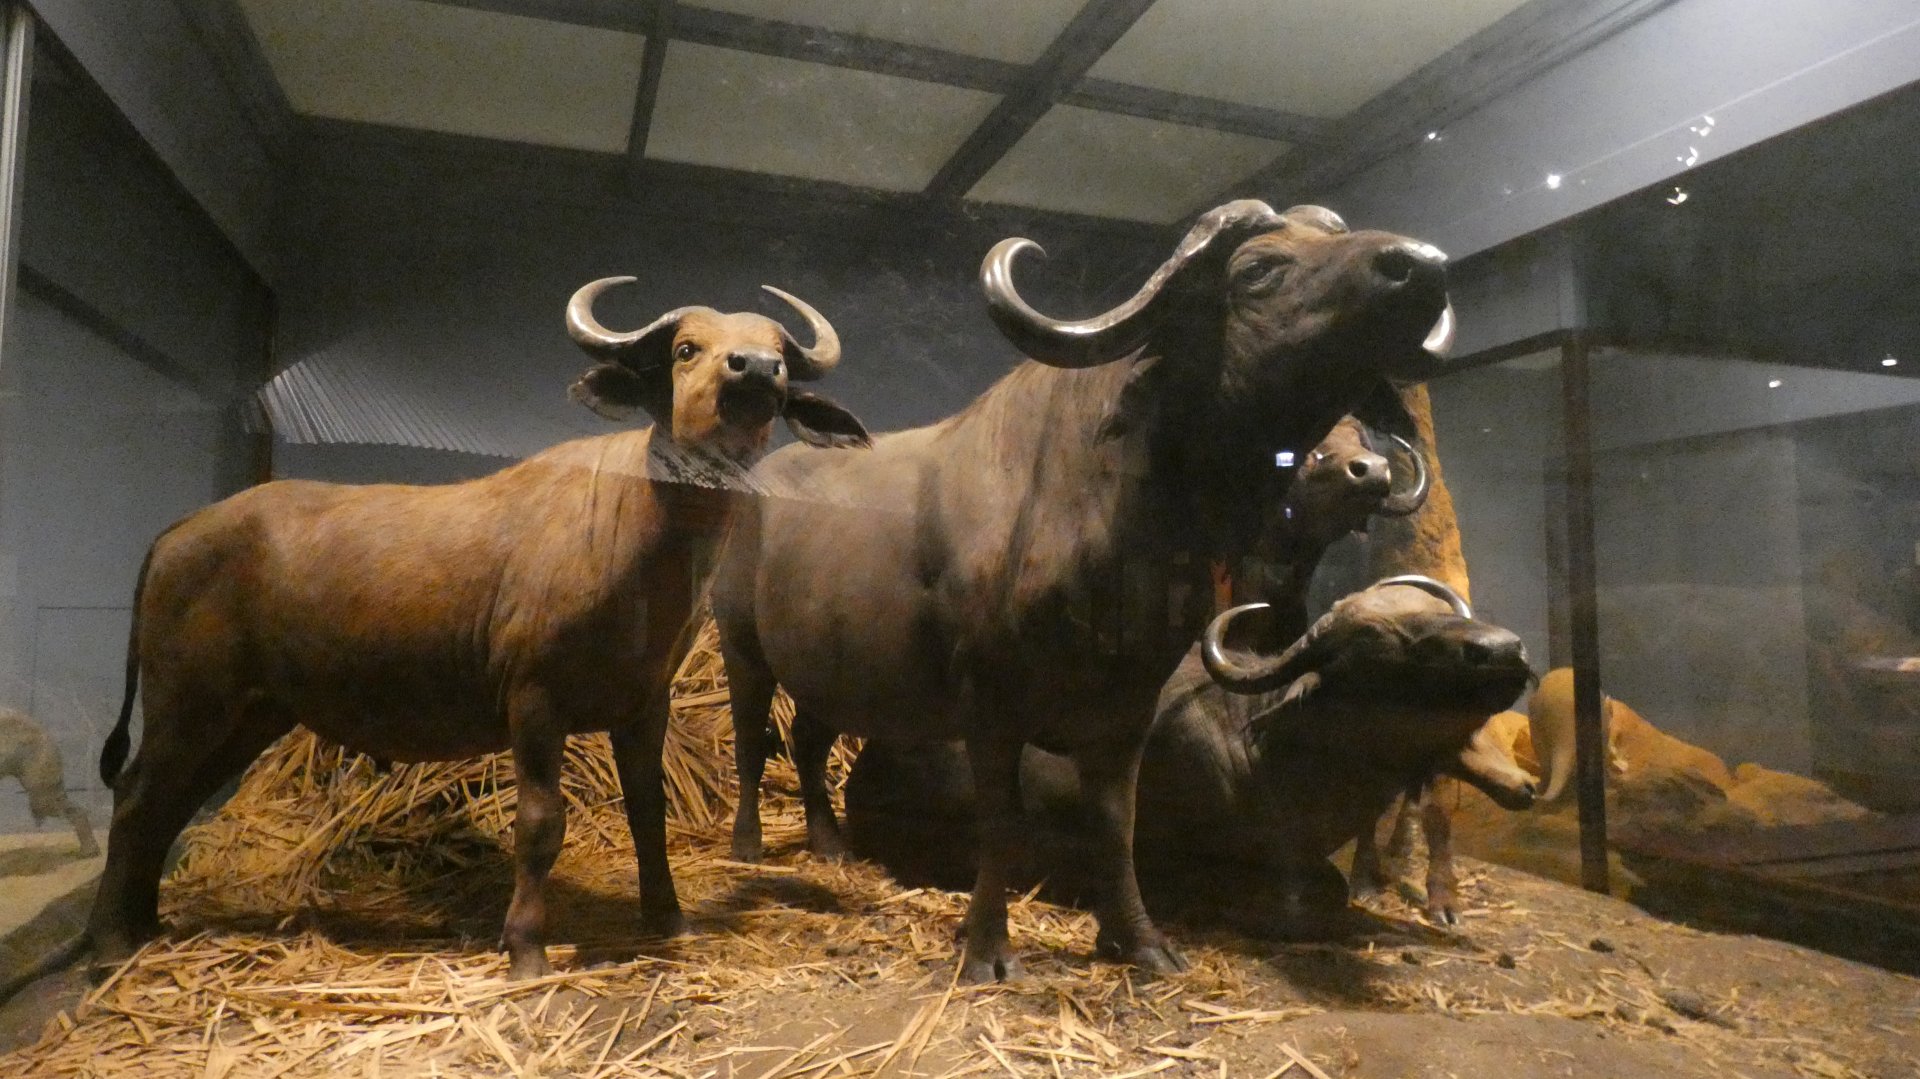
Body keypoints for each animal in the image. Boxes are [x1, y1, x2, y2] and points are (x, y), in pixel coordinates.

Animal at [87, 280, 866, 978]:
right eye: (684, 348)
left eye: (780, 354)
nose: (754, 371)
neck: (639, 529)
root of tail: (179, 531)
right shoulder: (534, 700)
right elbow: (541, 821)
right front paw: (526, 946)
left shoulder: (645, 703)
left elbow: (648, 811)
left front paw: (668, 916)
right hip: (189, 700)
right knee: (136, 797)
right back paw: (109, 944)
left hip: (249, 711)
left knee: (169, 803)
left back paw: (144, 924)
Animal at [714, 200, 1454, 980]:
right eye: (1257, 269)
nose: (1420, 266)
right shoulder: (989, 704)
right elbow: (1002, 822)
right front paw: (987, 949)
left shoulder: (1127, 707)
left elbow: (1115, 823)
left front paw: (1141, 940)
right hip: (741, 646)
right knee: (751, 732)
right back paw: (748, 845)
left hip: (831, 672)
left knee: (807, 737)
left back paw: (830, 843)